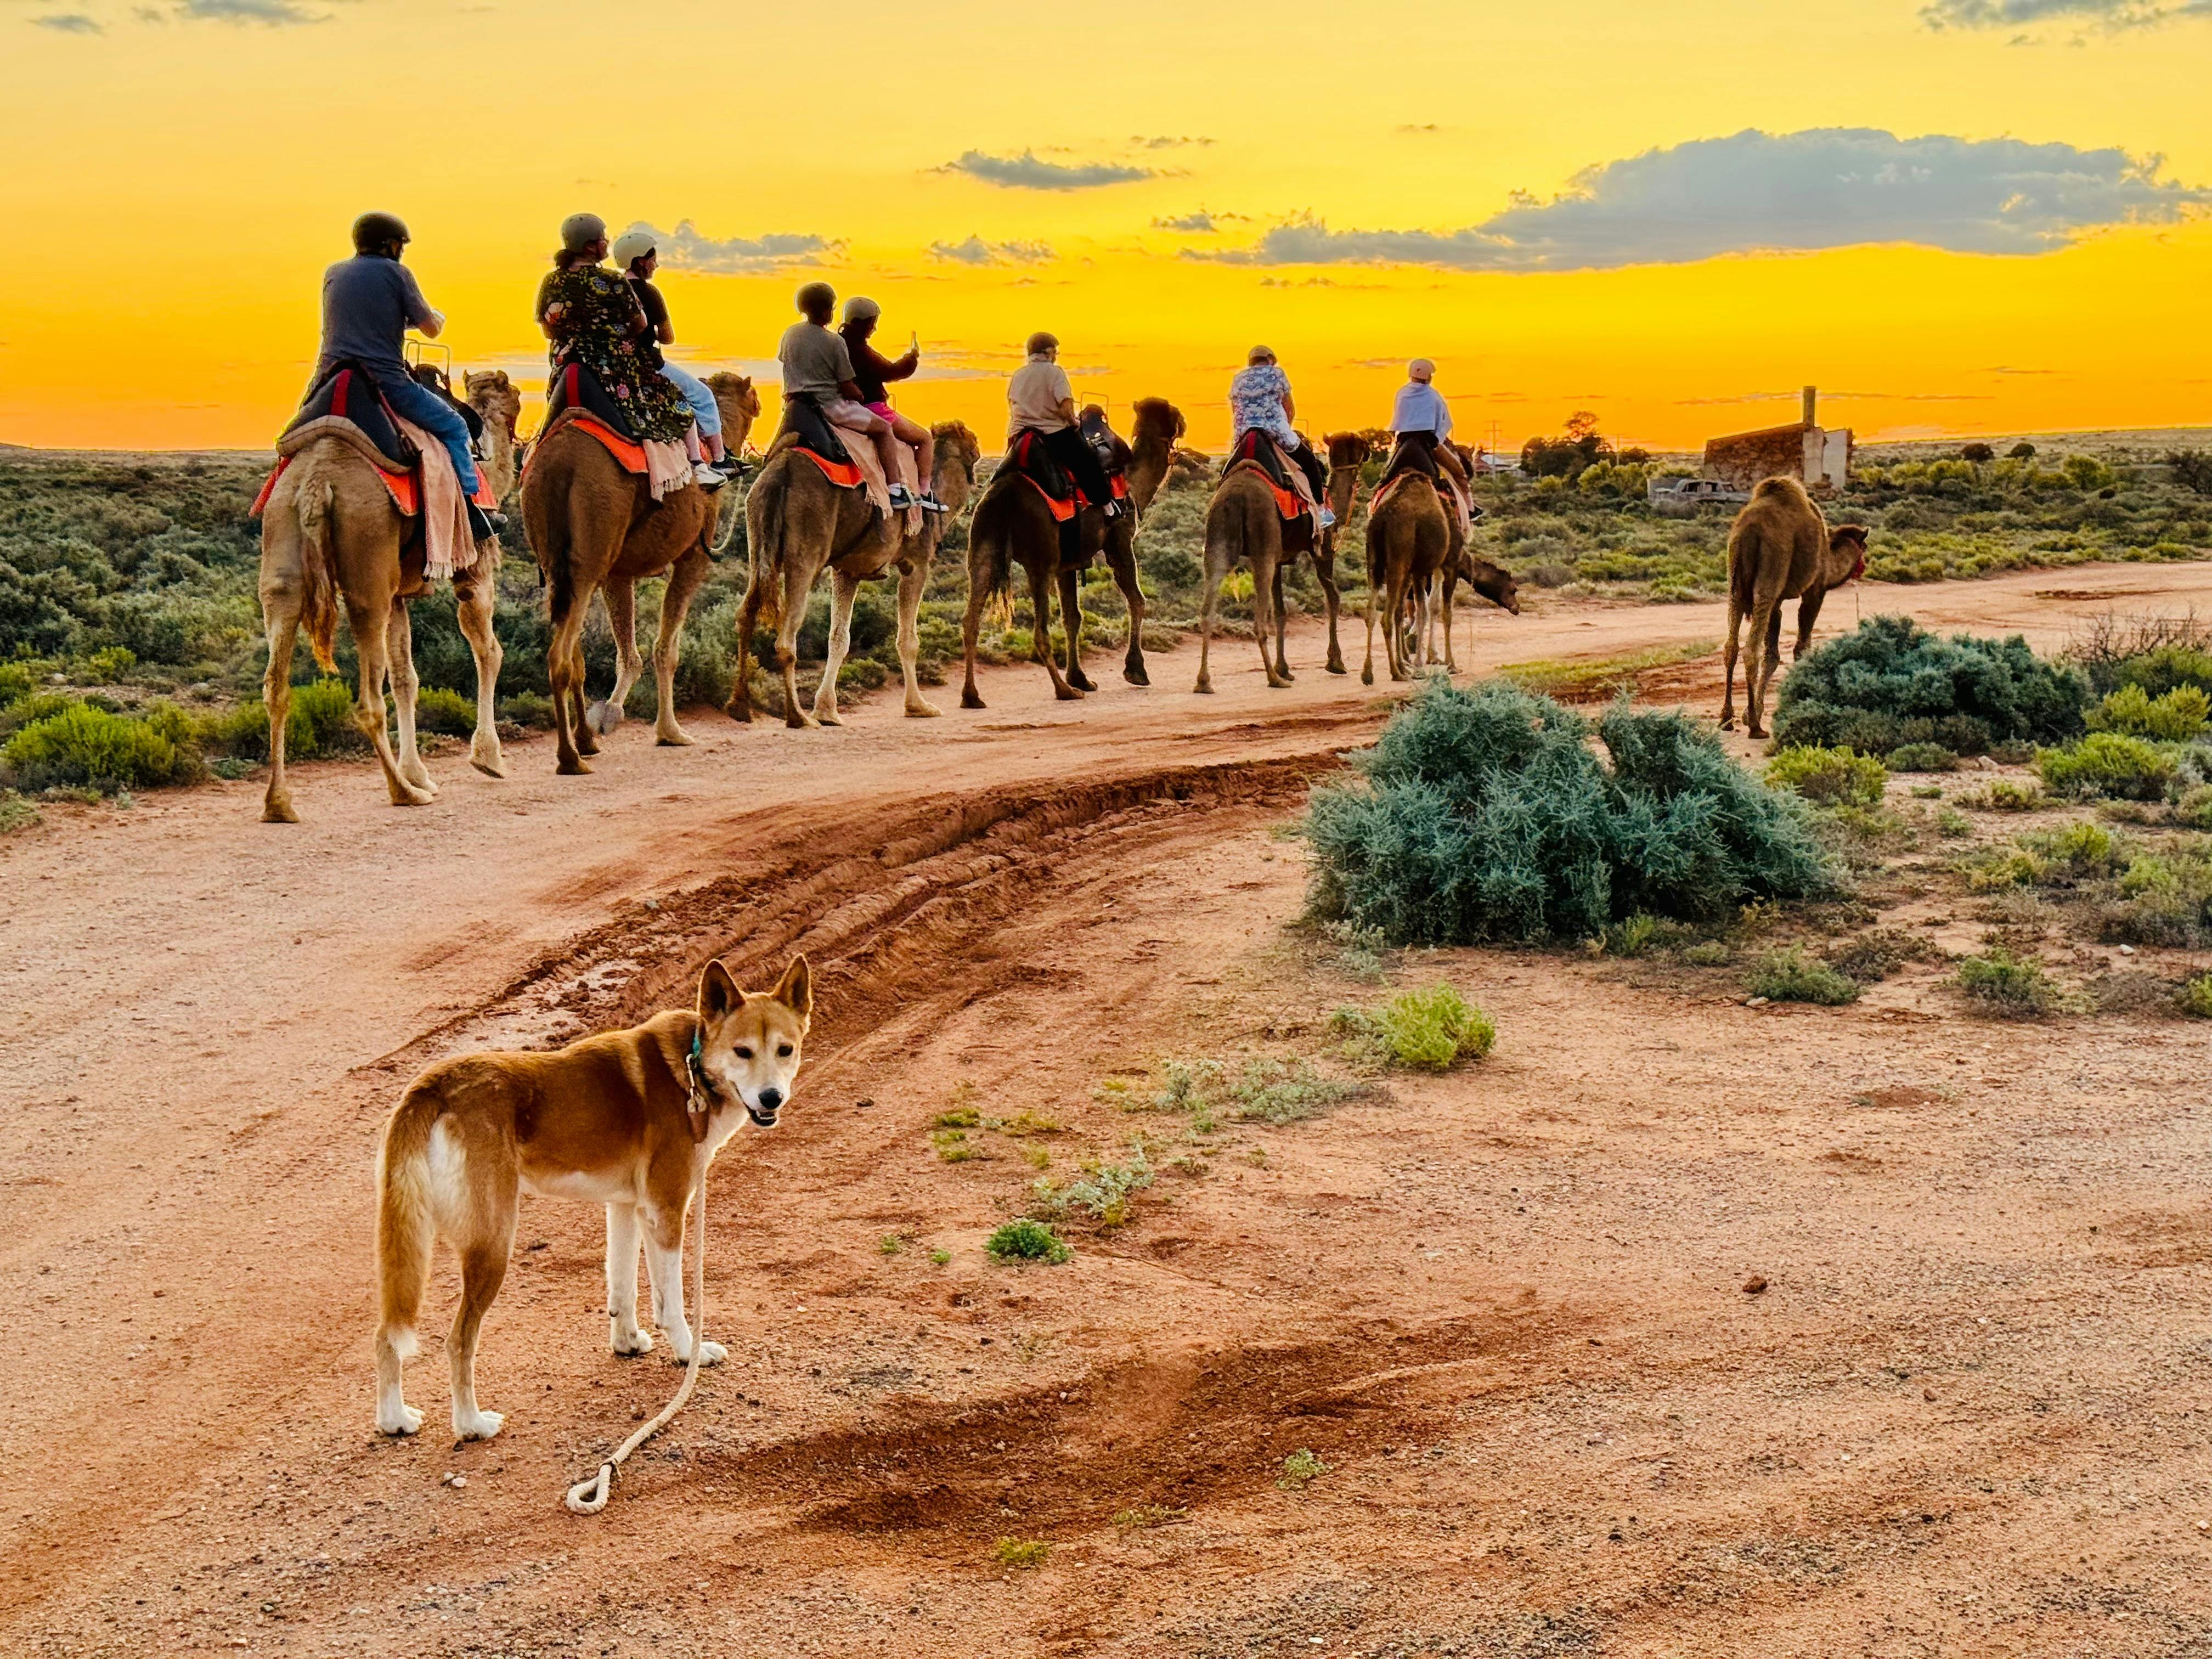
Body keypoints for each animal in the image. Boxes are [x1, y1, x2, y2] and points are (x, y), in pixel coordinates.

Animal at [256, 438, 506, 822]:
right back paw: (404, 793)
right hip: (369, 570)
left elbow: (405, 679)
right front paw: (488, 758)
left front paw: (418, 773)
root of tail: (316, 485)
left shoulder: (399, 596)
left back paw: (279, 804)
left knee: (277, 687)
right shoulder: (475, 564)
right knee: (368, 702)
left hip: (280, 556)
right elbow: (489, 652)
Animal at [520, 416, 716, 774]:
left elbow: (626, 653)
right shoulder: (695, 552)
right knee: (561, 657)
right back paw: (570, 759)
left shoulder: (618, 571)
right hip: (589, 553)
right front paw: (670, 732)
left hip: (555, 561)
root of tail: (559, 463)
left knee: (573, 654)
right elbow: (666, 649)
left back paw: (584, 743)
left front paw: (606, 717)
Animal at [732, 420, 983, 728]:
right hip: (806, 547)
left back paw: (739, 707)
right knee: (787, 635)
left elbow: (839, 638)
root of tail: (781, 473)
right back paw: (798, 716)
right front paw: (919, 706)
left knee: (746, 613)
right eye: (973, 451)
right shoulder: (916, 563)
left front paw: (827, 711)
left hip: (758, 538)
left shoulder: (847, 570)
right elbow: (908, 640)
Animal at [958, 399, 1183, 709]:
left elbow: (1072, 618)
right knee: (1039, 631)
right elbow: (1137, 600)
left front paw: (1081, 678)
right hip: (1040, 558)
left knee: (971, 620)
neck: (1130, 479)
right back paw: (1064, 691)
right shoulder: (1119, 539)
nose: (1184, 423)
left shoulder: (1067, 565)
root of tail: (1002, 497)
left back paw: (972, 696)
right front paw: (1135, 671)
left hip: (983, 545)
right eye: (1173, 413)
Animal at [1719, 476, 1870, 738]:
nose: (1864, 565)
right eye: (1864, 547)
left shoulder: (1778, 602)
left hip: (1735, 583)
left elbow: (1773, 655)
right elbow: (1801, 647)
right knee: (1750, 649)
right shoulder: (1815, 589)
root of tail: (1748, 530)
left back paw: (1726, 718)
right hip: (1771, 567)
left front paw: (1750, 713)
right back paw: (1756, 728)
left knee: (1731, 646)